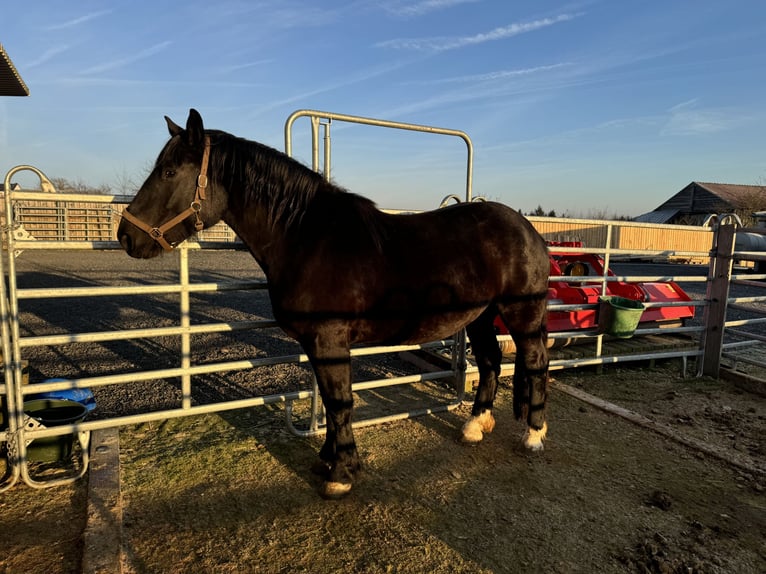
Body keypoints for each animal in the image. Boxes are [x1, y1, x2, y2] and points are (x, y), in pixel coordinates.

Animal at [118, 110, 552, 498]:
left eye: (169, 172)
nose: (125, 236)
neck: (307, 238)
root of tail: (525, 227)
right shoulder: (317, 345)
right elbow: (329, 402)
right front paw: (327, 460)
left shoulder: (329, 341)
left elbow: (341, 403)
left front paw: (341, 474)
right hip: (481, 315)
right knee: (491, 361)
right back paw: (475, 426)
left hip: (521, 314)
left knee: (535, 360)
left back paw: (533, 434)